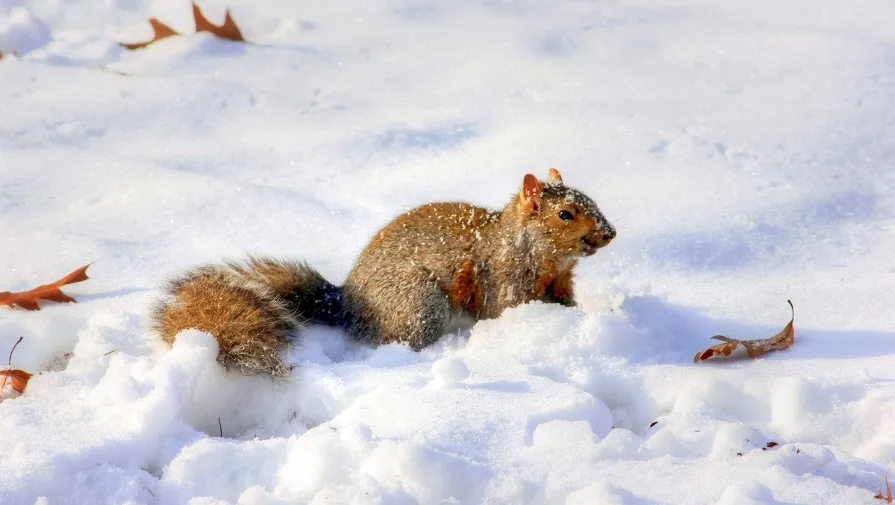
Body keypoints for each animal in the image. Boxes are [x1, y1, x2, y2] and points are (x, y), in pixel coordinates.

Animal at [151, 169, 616, 377]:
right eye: (565, 214)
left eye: (592, 199)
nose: (610, 233)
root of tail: (347, 302)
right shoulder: (503, 281)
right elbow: (508, 309)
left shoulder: (560, 283)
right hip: (418, 303)